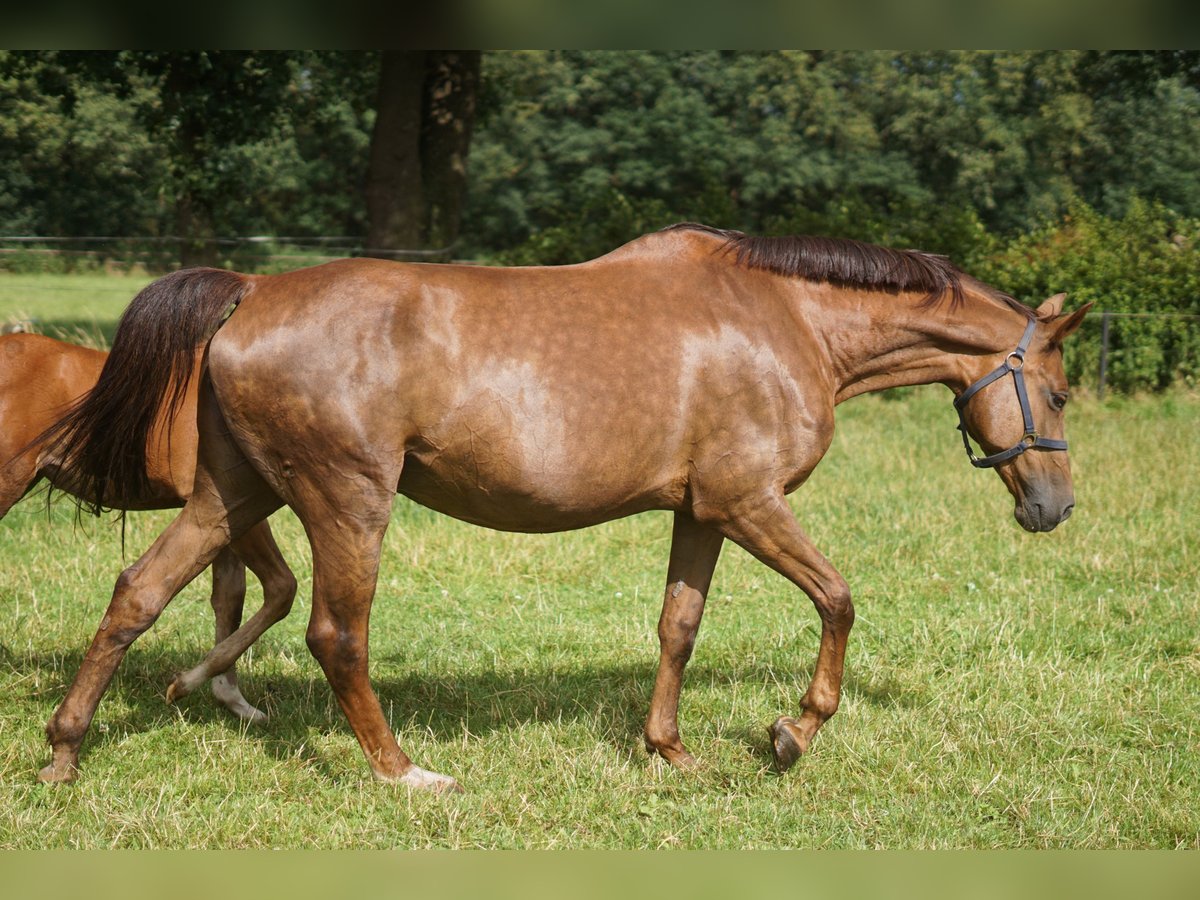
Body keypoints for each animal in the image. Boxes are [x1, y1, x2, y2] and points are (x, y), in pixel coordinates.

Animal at [1, 336, 296, 724]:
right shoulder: (231, 507)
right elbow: (280, 589)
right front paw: (187, 686)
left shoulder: (223, 518)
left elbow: (230, 597)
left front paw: (230, 699)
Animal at [37, 225, 1094, 787]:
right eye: (1061, 390)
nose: (1052, 508)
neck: (785, 319)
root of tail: (253, 289)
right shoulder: (749, 504)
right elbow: (838, 598)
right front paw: (793, 732)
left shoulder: (701, 513)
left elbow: (678, 626)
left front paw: (669, 750)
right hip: (347, 502)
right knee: (337, 634)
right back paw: (402, 773)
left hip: (232, 495)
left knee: (137, 595)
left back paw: (66, 751)